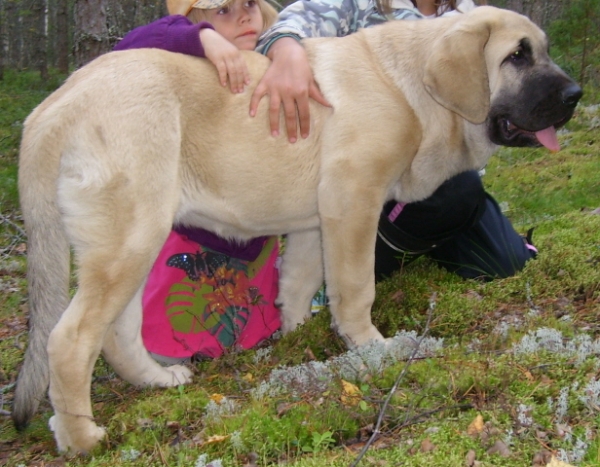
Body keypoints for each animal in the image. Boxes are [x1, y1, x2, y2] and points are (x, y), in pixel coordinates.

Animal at [14, 6, 580, 454]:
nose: (576, 94)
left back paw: (157, 380)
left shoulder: (316, 221)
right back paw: (81, 437)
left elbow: (300, 281)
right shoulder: (353, 199)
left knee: (117, 332)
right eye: (517, 56)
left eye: (542, 51)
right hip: (127, 241)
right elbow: (355, 287)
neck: (409, 85)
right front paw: (370, 345)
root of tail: (54, 106)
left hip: (136, 240)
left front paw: (294, 334)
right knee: (69, 339)